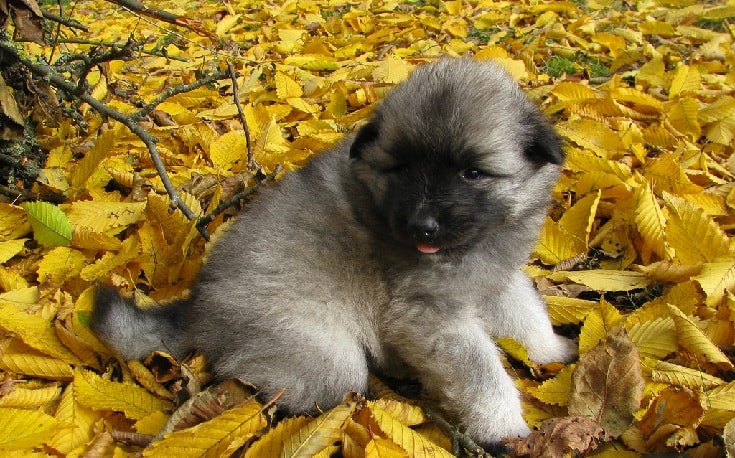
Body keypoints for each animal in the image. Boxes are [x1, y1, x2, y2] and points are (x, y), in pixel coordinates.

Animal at [92, 56, 576, 444]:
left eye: (472, 173)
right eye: (402, 168)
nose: (422, 225)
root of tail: (196, 307)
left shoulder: (494, 277)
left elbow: (526, 315)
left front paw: (553, 350)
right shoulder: (429, 316)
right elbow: (481, 372)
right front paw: (505, 427)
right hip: (322, 351)